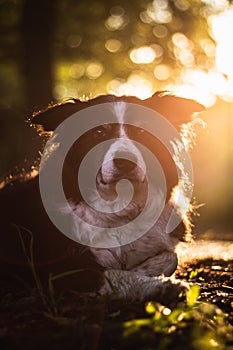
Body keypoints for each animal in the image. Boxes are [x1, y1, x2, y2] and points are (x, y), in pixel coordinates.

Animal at [0, 93, 204, 304]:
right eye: (98, 132)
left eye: (141, 130)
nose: (124, 162)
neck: (119, 206)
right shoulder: (55, 269)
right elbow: (111, 273)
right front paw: (161, 285)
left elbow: (171, 258)